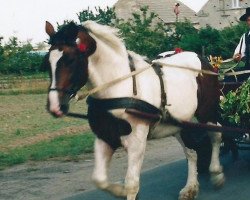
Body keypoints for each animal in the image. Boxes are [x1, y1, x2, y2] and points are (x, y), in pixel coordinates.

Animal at [43, 20, 225, 200]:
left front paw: (126, 190)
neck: (119, 88)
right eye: (47, 61)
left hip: (206, 112)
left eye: (71, 60)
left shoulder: (136, 141)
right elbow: (99, 179)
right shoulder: (105, 138)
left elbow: (132, 183)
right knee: (191, 152)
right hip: (177, 123)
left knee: (216, 134)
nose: (55, 106)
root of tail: (201, 58)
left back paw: (216, 173)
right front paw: (119, 190)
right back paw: (190, 187)